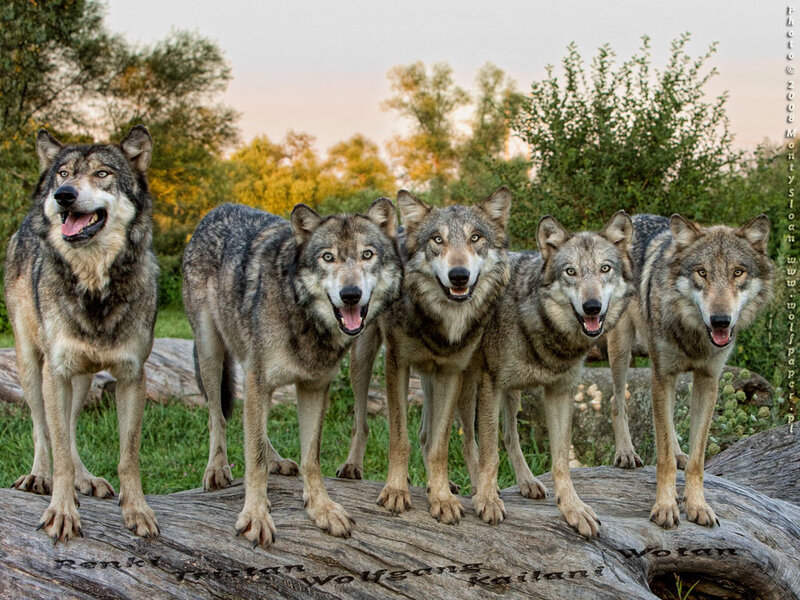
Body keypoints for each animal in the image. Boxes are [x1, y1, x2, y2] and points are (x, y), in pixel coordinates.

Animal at [5, 126, 160, 543]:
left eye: (102, 173)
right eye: (64, 173)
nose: (63, 196)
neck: (94, 288)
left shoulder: (132, 377)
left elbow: (128, 456)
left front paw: (136, 510)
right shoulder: (55, 373)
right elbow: (57, 448)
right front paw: (61, 511)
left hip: (84, 380)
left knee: (70, 429)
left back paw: (86, 480)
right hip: (33, 368)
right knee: (42, 429)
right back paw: (38, 476)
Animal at [182, 199, 402, 547]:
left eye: (367, 255)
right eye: (328, 257)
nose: (350, 294)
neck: (303, 315)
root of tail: (218, 208)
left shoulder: (313, 387)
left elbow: (310, 458)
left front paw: (321, 508)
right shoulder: (259, 380)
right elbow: (254, 460)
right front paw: (255, 516)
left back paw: (276, 460)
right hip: (210, 353)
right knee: (218, 417)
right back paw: (216, 469)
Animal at [337, 188, 512, 525]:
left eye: (475, 237)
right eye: (437, 240)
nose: (459, 276)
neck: (441, 321)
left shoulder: (451, 372)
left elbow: (439, 445)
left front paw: (442, 497)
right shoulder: (396, 364)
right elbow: (399, 437)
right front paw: (395, 490)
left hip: (456, 381)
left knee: (442, 437)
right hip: (363, 359)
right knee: (360, 422)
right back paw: (353, 466)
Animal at [467, 212, 634, 537]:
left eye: (605, 269)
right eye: (570, 272)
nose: (592, 306)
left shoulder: (560, 392)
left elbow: (561, 461)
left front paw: (573, 509)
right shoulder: (489, 384)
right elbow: (489, 453)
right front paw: (487, 500)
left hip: (512, 394)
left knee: (509, 435)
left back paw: (527, 482)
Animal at [605, 213, 773, 529]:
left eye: (738, 272)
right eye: (702, 272)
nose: (720, 320)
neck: (695, 334)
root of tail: (635, 216)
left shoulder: (708, 380)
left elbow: (697, 459)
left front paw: (698, 505)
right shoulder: (663, 375)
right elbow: (663, 460)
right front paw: (665, 507)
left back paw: (677, 452)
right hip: (621, 349)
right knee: (616, 400)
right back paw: (626, 453)